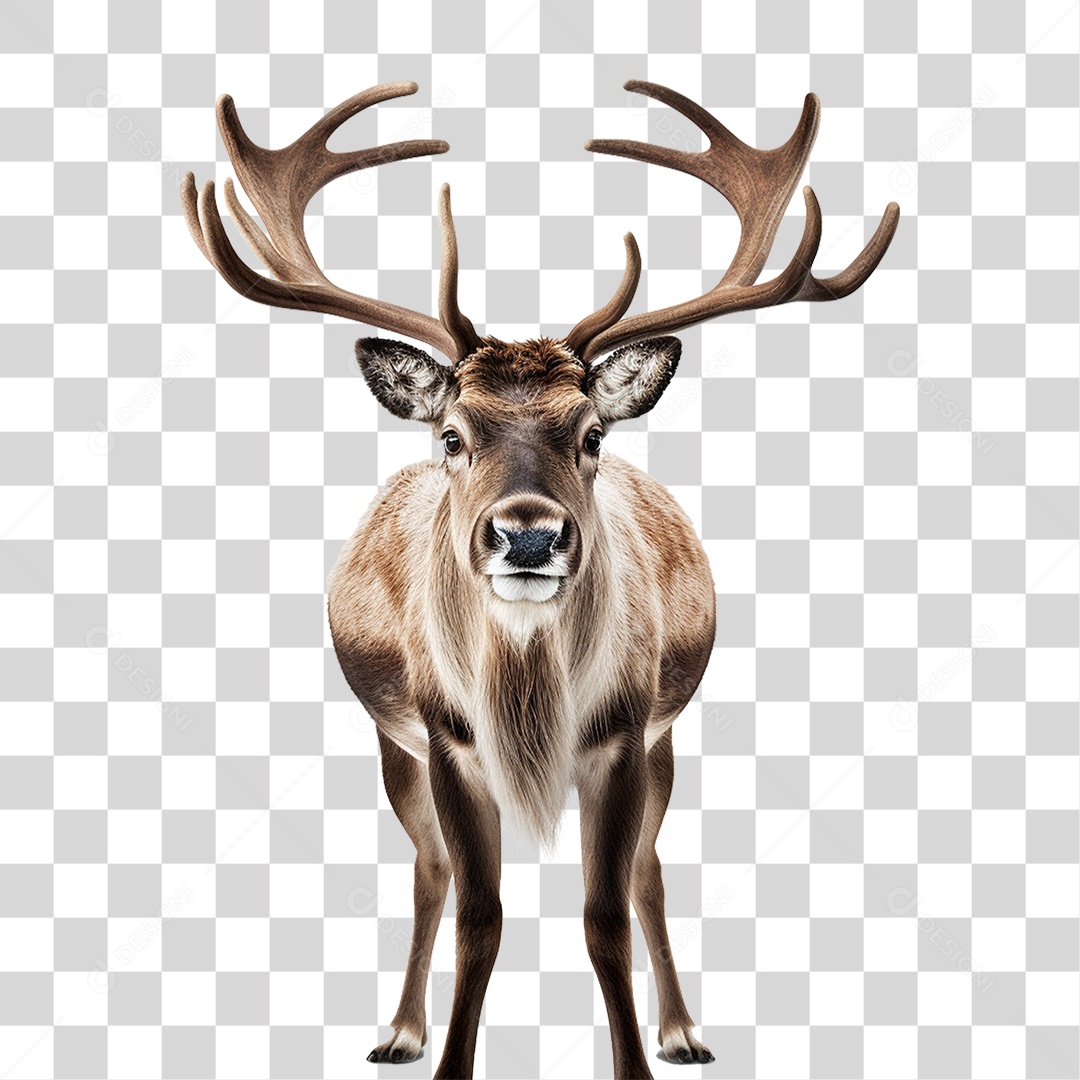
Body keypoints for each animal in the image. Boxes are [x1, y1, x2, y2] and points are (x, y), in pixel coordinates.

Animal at [183, 79, 898, 1080]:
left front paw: (641, 1059)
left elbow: (606, 914)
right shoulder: (444, 737)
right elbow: (478, 914)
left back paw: (684, 1031)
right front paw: (446, 1061)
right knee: (429, 870)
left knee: (648, 871)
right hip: (395, 746)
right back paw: (399, 1031)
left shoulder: (627, 731)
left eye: (591, 433)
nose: (528, 534)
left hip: (663, 736)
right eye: (451, 435)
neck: (530, 706)